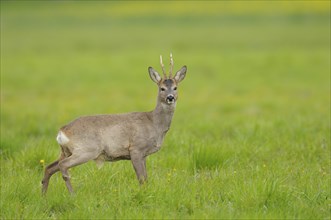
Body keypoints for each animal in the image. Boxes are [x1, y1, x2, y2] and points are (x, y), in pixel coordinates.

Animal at [40, 54, 188, 195]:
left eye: (175, 88)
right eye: (162, 88)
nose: (170, 97)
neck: (154, 123)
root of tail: (62, 131)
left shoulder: (144, 154)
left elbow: (146, 178)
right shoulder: (136, 148)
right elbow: (141, 179)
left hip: (65, 151)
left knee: (49, 167)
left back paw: (43, 196)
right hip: (87, 149)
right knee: (63, 165)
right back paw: (72, 195)